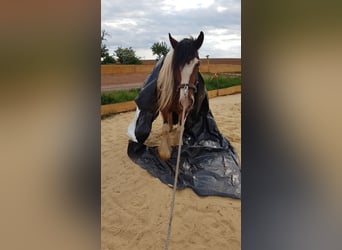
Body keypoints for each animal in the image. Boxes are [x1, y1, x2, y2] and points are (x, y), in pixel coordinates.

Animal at [157, 31, 203, 160]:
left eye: (198, 64)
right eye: (175, 64)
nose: (185, 101)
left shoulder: (184, 111)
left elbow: (180, 129)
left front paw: (178, 143)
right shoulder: (164, 108)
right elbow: (165, 130)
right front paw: (166, 149)